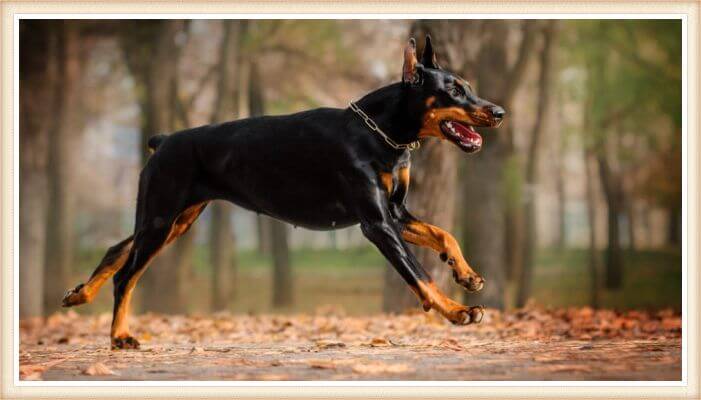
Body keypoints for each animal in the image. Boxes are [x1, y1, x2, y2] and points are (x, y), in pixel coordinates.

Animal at [63, 37, 504, 350]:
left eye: (468, 87)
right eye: (453, 90)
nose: (498, 111)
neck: (381, 133)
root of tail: (165, 139)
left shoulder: (395, 212)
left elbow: (443, 234)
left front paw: (466, 274)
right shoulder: (376, 223)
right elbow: (419, 274)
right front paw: (458, 311)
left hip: (175, 219)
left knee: (118, 248)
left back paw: (80, 293)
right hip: (162, 215)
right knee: (126, 275)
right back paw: (119, 336)